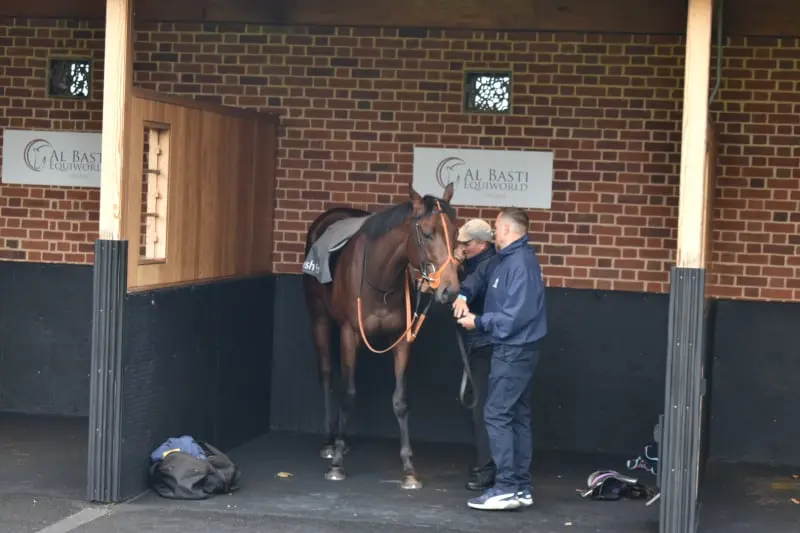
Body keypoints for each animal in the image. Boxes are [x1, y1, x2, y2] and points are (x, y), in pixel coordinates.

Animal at [302, 184, 462, 490]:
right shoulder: (349, 334)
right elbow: (348, 394)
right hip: (320, 319)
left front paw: (409, 469)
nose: (450, 290)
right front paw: (337, 464)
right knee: (327, 372)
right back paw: (330, 442)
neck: (380, 276)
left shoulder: (401, 339)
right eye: (427, 233)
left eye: (456, 231)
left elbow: (400, 400)